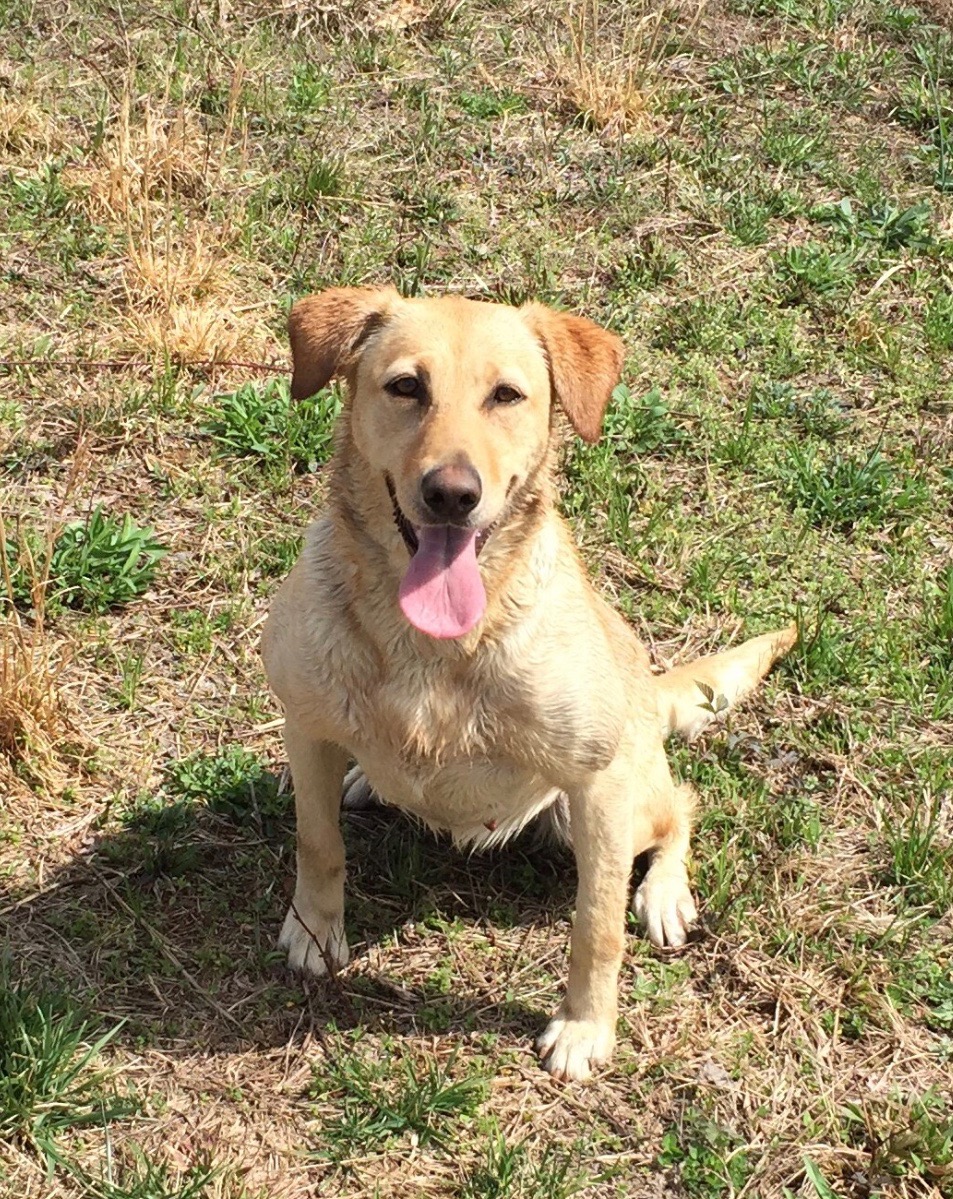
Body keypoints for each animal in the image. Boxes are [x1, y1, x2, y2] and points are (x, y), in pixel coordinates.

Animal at [262, 285, 795, 1083]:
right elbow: (318, 843)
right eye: (405, 387)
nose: (451, 494)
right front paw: (314, 930)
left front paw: (584, 1026)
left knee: (682, 807)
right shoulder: (307, 727)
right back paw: (364, 779)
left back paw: (664, 893)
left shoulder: (598, 783)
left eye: (506, 395)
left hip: (622, 794)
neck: (431, 642)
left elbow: (596, 924)